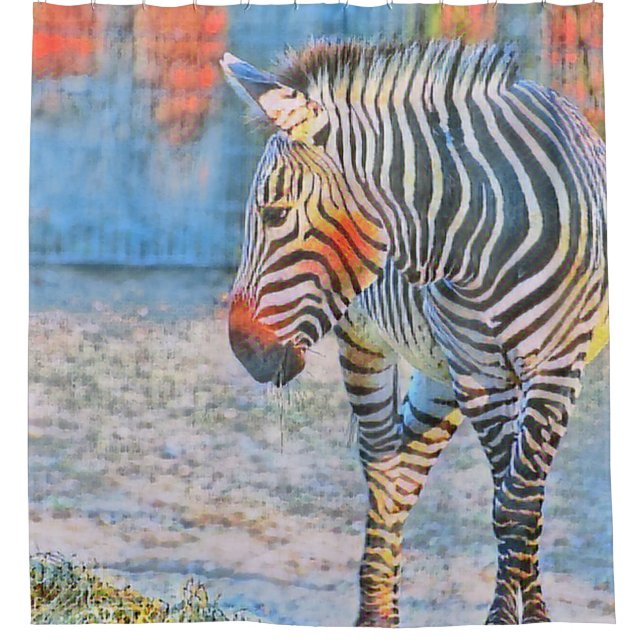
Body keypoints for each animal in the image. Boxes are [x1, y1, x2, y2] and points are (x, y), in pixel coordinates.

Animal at [221, 39, 608, 626]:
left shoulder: (555, 369)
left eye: (275, 212)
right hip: (372, 344)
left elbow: (520, 502)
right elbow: (506, 501)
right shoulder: (480, 373)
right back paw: (377, 614)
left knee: (406, 471)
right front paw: (505, 620)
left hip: (439, 373)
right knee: (384, 473)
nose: (243, 351)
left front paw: (531, 620)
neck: (483, 236)